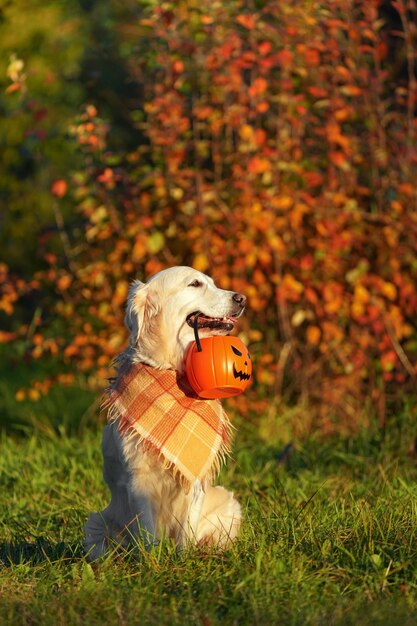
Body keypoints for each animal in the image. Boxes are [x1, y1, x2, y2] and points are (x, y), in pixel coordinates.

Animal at [84, 264, 247, 556]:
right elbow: (148, 532)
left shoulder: (194, 476)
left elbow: (187, 530)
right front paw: (153, 560)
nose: (241, 298)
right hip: (96, 524)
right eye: (195, 284)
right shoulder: (138, 479)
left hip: (229, 505)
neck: (172, 371)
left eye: (212, 282)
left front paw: (184, 557)